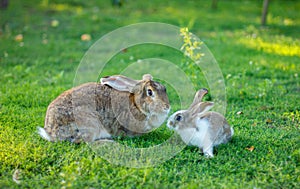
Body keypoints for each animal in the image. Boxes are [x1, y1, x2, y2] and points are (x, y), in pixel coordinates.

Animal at [37, 74, 170, 143]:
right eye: (150, 92)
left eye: (165, 89)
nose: (167, 107)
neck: (136, 105)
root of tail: (51, 131)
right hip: (89, 123)